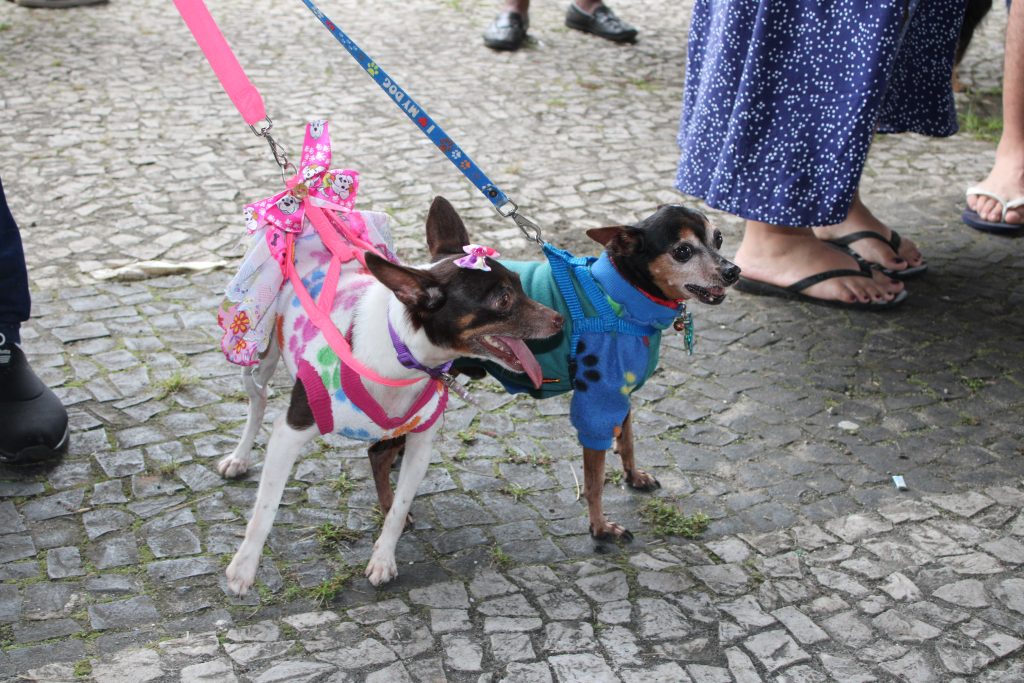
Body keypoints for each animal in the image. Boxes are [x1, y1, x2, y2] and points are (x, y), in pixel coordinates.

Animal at [219, 197, 565, 593]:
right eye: (504, 300)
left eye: (520, 286)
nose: (560, 320)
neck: (401, 356)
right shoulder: (289, 433)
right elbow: (265, 508)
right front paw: (244, 566)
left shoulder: (421, 444)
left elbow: (398, 510)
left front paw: (384, 557)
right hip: (259, 356)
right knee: (257, 405)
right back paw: (239, 457)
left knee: (378, 453)